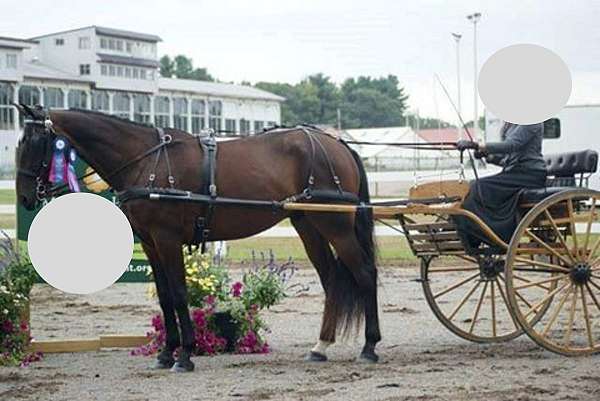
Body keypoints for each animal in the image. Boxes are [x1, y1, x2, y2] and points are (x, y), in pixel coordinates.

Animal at [14, 105, 380, 372]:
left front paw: (185, 355)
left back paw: (369, 346)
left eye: (32, 143)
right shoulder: (150, 242)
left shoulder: (167, 239)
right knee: (332, 280)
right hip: (309, 225)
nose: (25, 198)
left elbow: (178, 294)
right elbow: (164, 297)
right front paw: (166, 353)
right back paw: (321, 346)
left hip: (335, 225)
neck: (147, 160)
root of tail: (336, 143)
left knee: (364, 274)